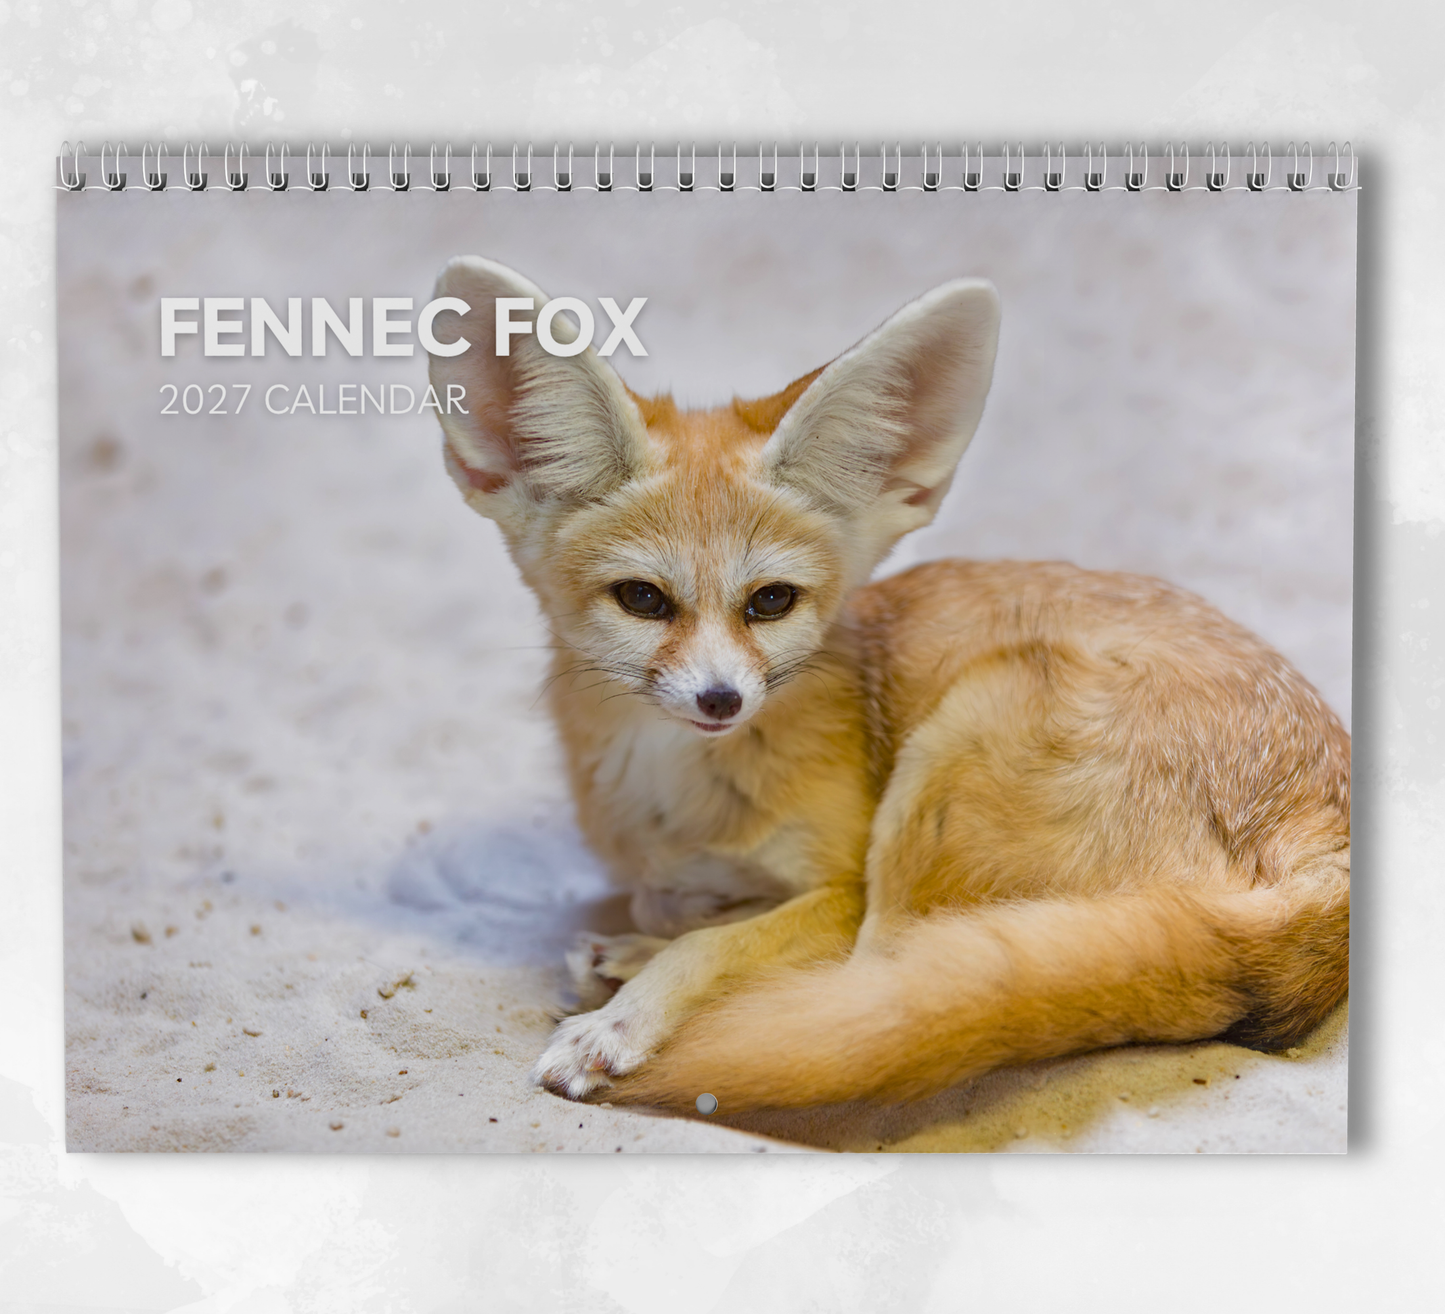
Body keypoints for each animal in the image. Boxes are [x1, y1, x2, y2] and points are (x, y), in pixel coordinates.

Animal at [425, 256, 1350, 1112]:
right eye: (643, 600)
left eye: (770, 601)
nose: (721, 700)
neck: (679, 802)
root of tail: (1326, 850)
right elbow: (683, 909)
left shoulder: (841, 886)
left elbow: (719, 941)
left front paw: (630, 1014)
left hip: (955, 749)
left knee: (875, 981)